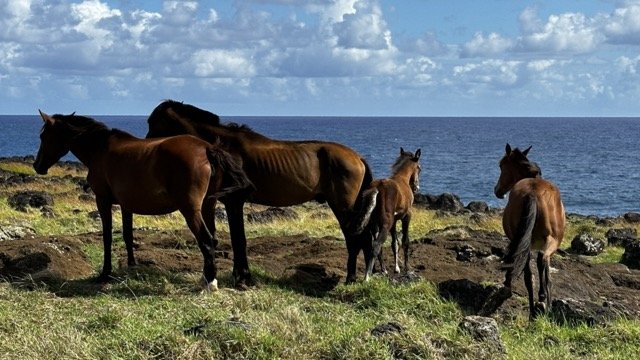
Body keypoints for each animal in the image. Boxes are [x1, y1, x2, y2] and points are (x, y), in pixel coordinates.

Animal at [33, 109, 252, 290]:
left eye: (43, 136)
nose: (37, 166)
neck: (100, 149)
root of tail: (207, 148)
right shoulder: (126, 205)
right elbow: (128, 235)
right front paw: (131, 266)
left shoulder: (102, 200)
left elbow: (107, 236)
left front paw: (105, 273)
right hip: (207, 204)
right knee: (212, 239)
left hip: (190, 209)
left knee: (206, 240)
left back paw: (210, 283)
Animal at [145, 100, 376, 286]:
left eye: (152, 123)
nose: (147, 146)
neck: (224, 147)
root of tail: (357, 157)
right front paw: (238, 276)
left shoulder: (234, 201)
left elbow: (239, 239)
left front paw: (242, 277)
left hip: (343, 206)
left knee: (354, 238)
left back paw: (350, 278)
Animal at [362, 147, 422, 282]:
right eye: (419, 168)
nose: (416, 187)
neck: (402, 179)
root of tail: (377, 188)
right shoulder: (407, 216)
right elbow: (405, 241)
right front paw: (407, 269)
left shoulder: (394, 221)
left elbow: (394, 243)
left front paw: (397, 268)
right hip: (385, 224)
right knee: (376, 245)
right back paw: (367, 277)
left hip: (374, 225)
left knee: (376, 246)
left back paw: (383, 270)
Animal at [496, 143, 564, 318]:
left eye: (501, 165)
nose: (497, 191)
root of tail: (532, 193)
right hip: (550, 240)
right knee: (541, 260)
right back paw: (542, 300)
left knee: (531, 271)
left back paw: (537, 304)